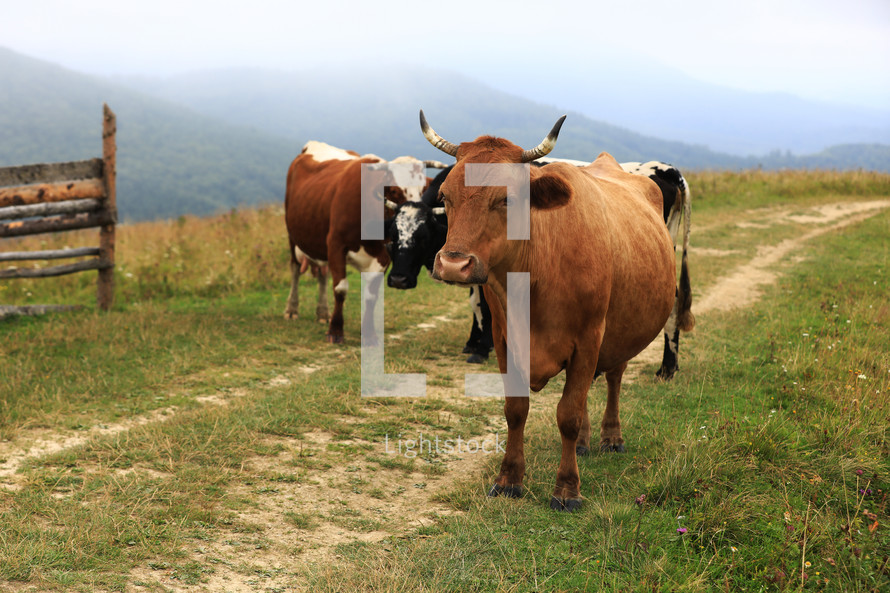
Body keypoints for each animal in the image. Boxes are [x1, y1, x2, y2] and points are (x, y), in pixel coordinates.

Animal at [282, 140, 424, 342]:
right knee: (295, 269)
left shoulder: (383, 255)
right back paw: (292, 309)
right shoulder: (336, 244)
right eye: (394, 190)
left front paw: (369, 333)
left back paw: (323, 312)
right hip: (293, 235)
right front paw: (335, 331)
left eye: (422, 190)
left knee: (323, 274)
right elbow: (340, 289)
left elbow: (371, 295)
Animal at [422, 111, 680, 508]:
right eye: (445, 196)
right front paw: (509, 480)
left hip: (620, 331)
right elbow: (515, 410)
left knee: (614, 378)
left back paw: (611, 437)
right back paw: (587, 443)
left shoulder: (589, 338)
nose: (453, 265)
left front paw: (567, 490)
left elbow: (568, 414)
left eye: (506, 198)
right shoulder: (503, 339)